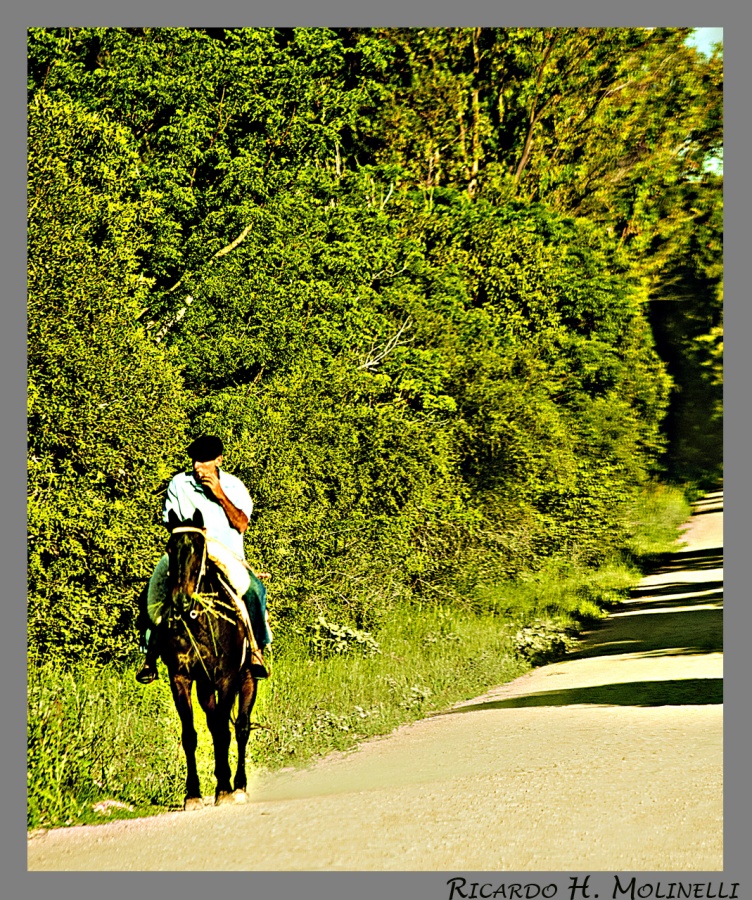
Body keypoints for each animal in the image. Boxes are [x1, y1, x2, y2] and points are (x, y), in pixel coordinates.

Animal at [156, 510, 258, 812]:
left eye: (199, 548)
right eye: (170, 548)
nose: (180, 600)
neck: (198, 619)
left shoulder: (226, 678)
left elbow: (225, 732)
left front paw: (224, 789)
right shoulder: (180, 677)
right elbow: (191, 735)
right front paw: (193, 794)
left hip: (248, 679)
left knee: (241, 728)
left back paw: (238, 787)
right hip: (205, 688)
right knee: (215, 725)